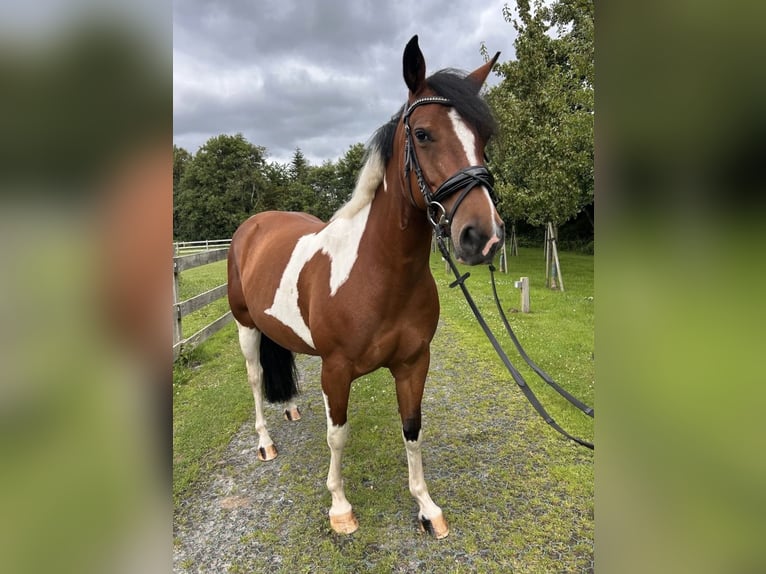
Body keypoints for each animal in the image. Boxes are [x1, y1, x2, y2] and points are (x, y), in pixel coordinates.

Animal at [227, 35, 503, 539]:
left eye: (483, 138)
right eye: (423, 134)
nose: (484, 237)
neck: (379, 275)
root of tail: (253, 225)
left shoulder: (414, 364)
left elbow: (412, 429)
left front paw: (426, 508)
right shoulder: (335, 371)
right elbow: (337, 435)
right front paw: (340, 508)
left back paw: (290, 408)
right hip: (245, 325)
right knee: (255, 378)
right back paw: (265, 442)